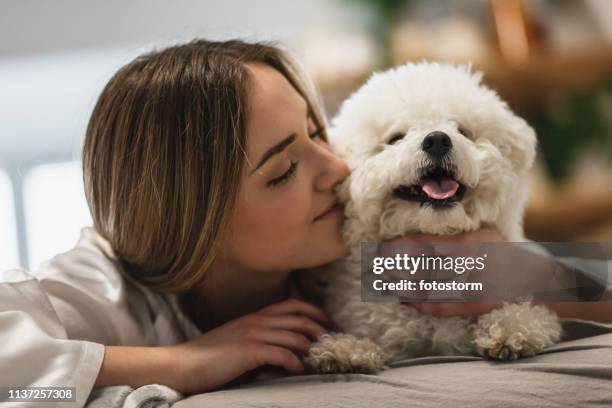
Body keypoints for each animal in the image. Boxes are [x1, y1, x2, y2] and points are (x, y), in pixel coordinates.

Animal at [304, 63, 560, 372]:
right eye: (395, 138)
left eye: (462, 131)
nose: (437, 139)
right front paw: (346, 350)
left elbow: (533, 317)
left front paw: (509, 329)